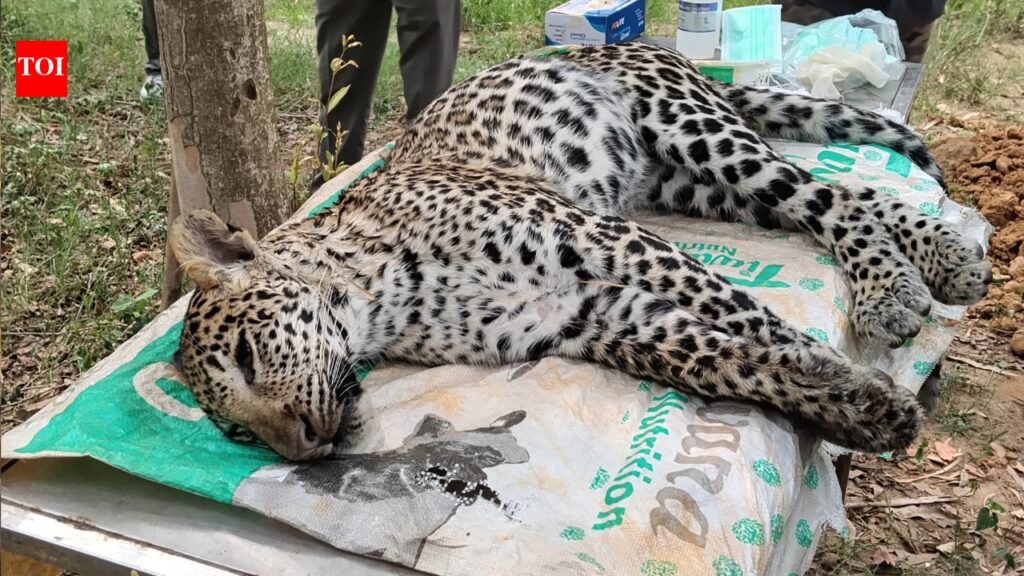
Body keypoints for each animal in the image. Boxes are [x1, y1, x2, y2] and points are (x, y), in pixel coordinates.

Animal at [169, 42, 990, 462]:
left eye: (247, 356)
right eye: (236, 431)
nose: (302, 449)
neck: (382, 301)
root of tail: (644, 42)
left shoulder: (601, 240)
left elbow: (748, 318)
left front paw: (855, 384)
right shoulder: (587, 315)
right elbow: (725, 358)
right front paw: (857, 412)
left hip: (696, 135)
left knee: (830, 197)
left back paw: (897, 288)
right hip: (693, 187)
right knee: (843, 194)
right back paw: (944, 260)